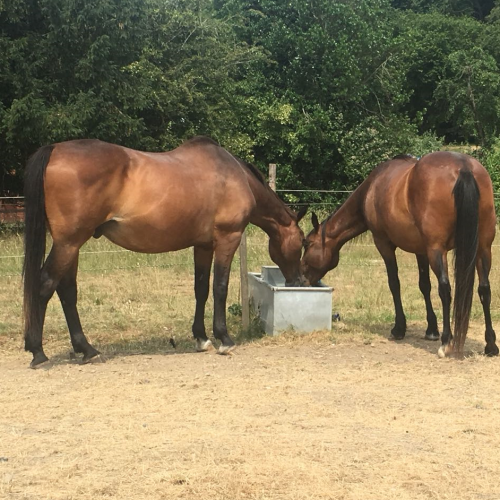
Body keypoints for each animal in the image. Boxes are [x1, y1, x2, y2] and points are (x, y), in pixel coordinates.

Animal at [23, 137, 306, 368]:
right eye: (302, 241)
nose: (299, 281)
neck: (235, 176)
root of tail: (55, 149)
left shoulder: (203, 245)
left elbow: (201, 289)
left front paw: (201, 338)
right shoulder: (228, 238)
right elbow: (220, 288)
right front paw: (224, 338)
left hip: (71, 245)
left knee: (66, 291)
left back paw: (86, 349)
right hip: (69, 243)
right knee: (45, 284)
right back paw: (38, 352)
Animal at [298, 150, 498, 358]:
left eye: (307, 244)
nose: (301, 279)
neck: (372, 189)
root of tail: (463, 167)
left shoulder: (384, 244)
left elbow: (394, 283)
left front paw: (399, 328)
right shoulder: (421, 250)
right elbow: (424, 285)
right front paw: (431, 329)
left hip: (438, 250)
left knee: (445, 289)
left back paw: (446, 343)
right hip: (482, 248)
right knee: (484, 288)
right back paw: (490, 345)